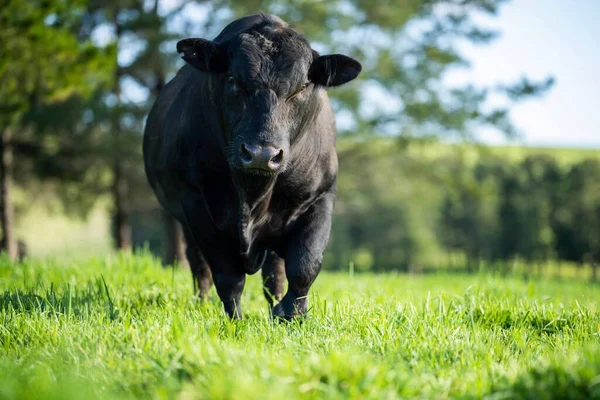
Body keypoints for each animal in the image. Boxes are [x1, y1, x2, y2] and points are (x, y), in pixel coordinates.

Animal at [144, 12, 360, 318]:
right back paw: (202, 302)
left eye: (302, 87)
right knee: (199, 266)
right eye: (234, 79)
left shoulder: (320, 197)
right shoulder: (196, 204)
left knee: (275, 273)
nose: (261, 154)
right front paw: (235, 320)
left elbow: (305, 265)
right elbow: (226, 274)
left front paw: (291, 313)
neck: (252, 195)